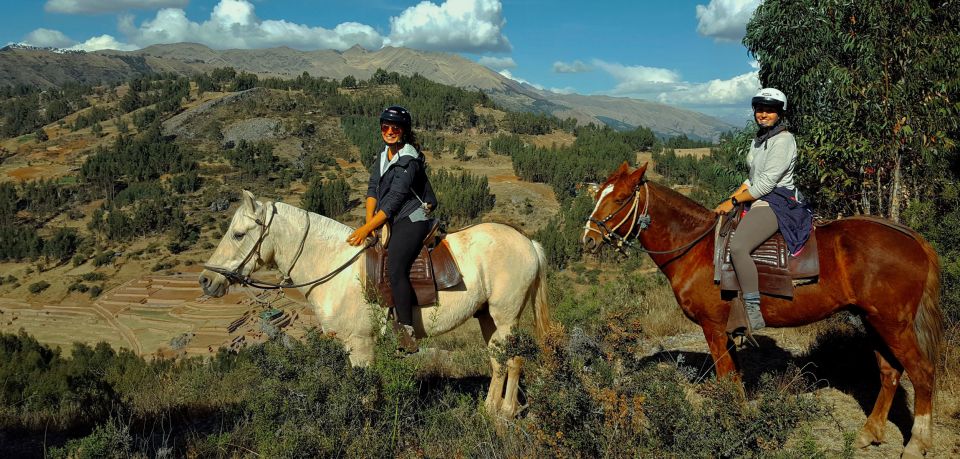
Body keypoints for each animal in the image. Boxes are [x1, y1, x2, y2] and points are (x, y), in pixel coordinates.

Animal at [199, 190, 552, 416]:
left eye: (239, 234)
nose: (205, 279)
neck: (335, 266)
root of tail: (528, 242)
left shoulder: (361, 344)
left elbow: (366, 393)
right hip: (487, 317)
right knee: (498, 360)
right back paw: (489, 409)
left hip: (506, 317)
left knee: (514, 360)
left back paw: (506, 413)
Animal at [580, 164, 940, 458]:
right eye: (598, 195)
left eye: (620, 199)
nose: (588, 239)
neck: (697, 248)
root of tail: (913, 239)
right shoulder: (726, 331)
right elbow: (736, 379)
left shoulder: (713, 328)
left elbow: (727, 380)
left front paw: (729, 426)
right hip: (873, 321)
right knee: (890, 373)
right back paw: (869, 433)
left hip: (893, 323)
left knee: (922, 373)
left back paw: (917, 444)